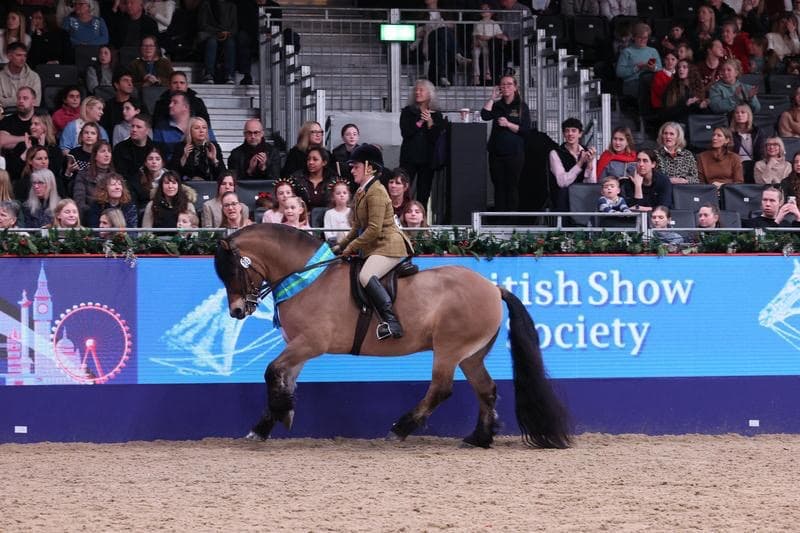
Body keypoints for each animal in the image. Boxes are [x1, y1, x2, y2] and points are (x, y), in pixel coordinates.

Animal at [214, 223, 571, 448]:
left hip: (449, 348)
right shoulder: (299, 346)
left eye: (233, 271)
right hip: (471, 354)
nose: (237, 311)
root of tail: (493, 288)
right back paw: (479, 438)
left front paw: (274, 417)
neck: (306, 279)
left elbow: (272, 371)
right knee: (486, 390)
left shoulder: (311, 343)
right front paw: (273, 419)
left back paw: (401, 429)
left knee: (440, 390)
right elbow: (283, 378)